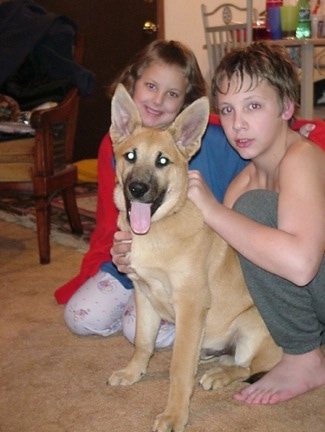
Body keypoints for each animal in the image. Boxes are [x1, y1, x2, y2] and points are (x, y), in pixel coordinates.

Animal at [109, 85, 280, 432]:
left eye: (163, 161)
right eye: (130, 156)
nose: (137, 189)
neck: (159, 228)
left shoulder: (190, 303)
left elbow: (178, 367)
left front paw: (175, 415)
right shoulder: (143, 295)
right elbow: (142, 343)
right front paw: (133, 373)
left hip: (251, 324)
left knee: (249, 367)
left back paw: (219, 375)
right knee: (233, 359)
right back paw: (210, 360)